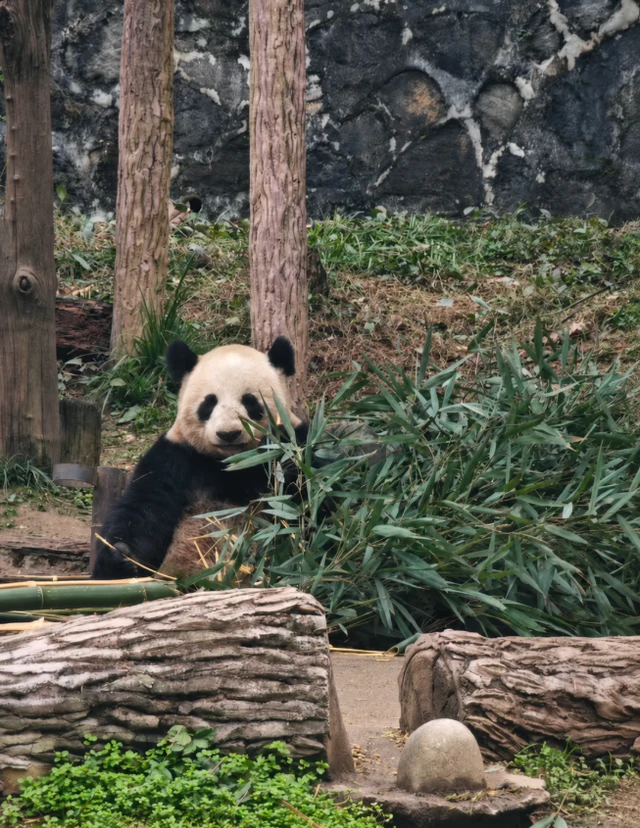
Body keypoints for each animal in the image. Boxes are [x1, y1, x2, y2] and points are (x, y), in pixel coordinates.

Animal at [92, 336, 309, 580]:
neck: (231, 463)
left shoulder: (295, 442)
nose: (228, 434)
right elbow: (144, 507)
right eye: (209, 402)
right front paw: (120, 557)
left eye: (250, 401)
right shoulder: (176, 458)